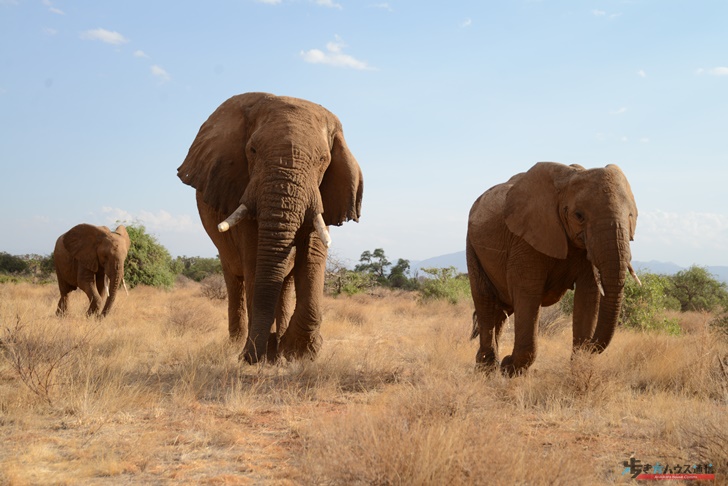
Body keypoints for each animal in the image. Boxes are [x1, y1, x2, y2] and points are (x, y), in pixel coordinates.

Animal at [177, 92, 364, 364]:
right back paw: (237, 344)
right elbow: (255, 258)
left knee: (284, 284)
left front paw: (297, 353)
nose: (250, 357)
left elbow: (313, 253)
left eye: (323, 160)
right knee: (235, 280)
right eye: (252, 150)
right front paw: (261, 353)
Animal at [466, 162, 636, 376]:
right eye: (579, 216)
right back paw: (487, 370)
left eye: (631, 215)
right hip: (472, 246)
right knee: (485, 300)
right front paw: (508, 368)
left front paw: (578, 371)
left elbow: (588, 296)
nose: (591, 346)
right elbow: (527, 294)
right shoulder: (525, 239)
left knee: (501, 309)